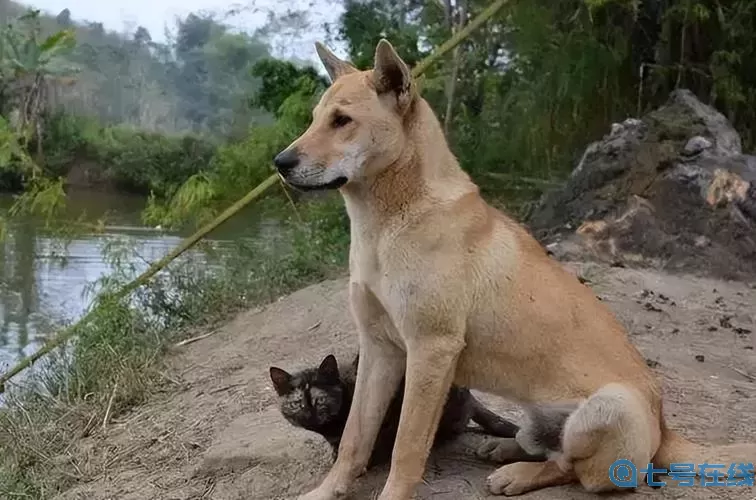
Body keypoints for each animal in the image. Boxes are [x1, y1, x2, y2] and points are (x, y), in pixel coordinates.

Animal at [274, 40, 756, 500]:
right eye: (315, 119)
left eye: (342, 120)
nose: (280, 164)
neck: (390, 222)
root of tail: (664, 427)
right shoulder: (379, 351)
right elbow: (355, 438)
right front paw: (326, 491)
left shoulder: (431, 351)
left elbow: (406, 446)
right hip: (538, 416)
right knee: (542, 445)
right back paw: (503, 449)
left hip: (609, 408)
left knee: (571, 467)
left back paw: (516, 475)